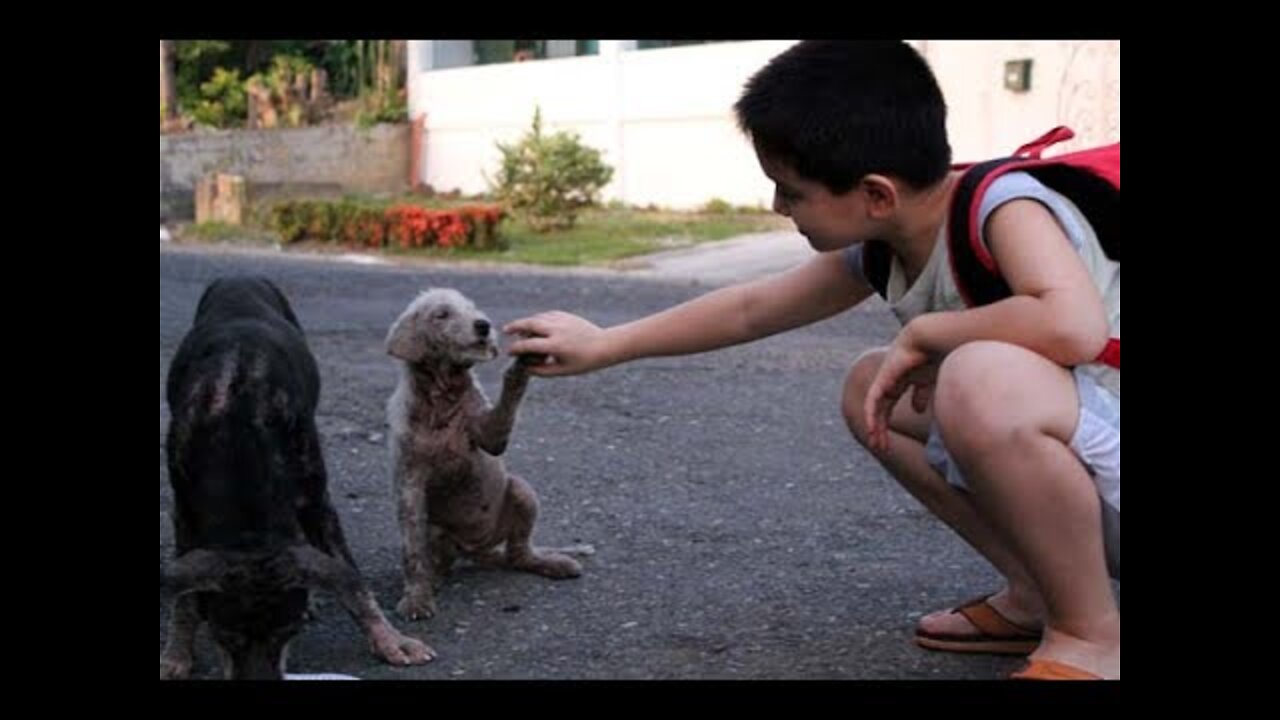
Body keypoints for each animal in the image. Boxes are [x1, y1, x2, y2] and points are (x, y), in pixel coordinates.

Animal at [158, 275, 430, 676]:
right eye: (224, 635)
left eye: (289, 631)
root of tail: (241, 276)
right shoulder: (186, 510)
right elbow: (186, 595)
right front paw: (177, 651)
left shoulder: (317, 499)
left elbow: (352, 579)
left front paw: (388, 638)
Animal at [381, 285, 586, 617]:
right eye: (442, 314)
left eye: (472, 308)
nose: (483, 325)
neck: (443, 397)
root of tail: (478, 549)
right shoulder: (409, 484)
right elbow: (412, 549)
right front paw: (416, 597)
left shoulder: (491, 436)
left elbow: (506, 404)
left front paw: (524, 359)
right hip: (437, 530)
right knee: (439, 560)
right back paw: (433, 578)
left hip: (521, 491)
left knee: (519, 553)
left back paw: (550, 563)